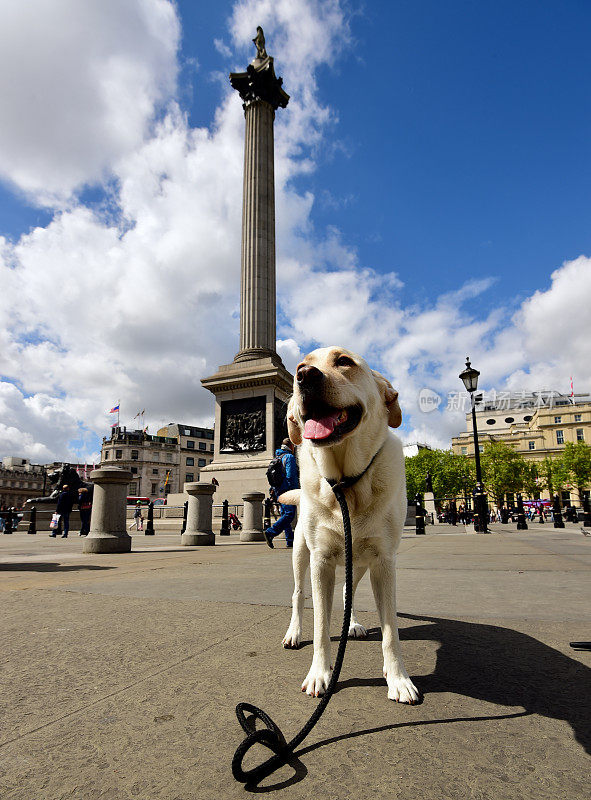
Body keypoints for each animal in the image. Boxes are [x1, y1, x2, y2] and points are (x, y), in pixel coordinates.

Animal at [280, 346, 420, 704]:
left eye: (344, 361)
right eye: (300, 365)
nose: (304, 376)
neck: (346, 485)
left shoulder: (384, 562)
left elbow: (391, 632)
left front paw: (398, 679)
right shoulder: (321, 561)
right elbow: (321, 627)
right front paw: (320, 674)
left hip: (357, 564)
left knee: (348, 594)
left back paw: (352, 624)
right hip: (300, 552)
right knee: (298, 594)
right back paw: (294, 632)